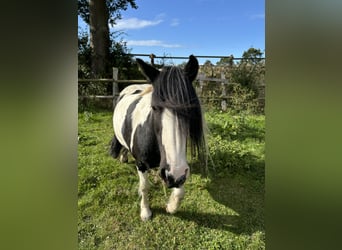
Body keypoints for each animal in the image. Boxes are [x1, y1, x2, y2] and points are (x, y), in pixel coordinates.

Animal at [110, 55, 206, 221]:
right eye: (154, 107)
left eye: (190, 108)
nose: (174, 174)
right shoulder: (141, 164)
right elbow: (144, 187)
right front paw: (145, 212)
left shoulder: (181, 169)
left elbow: (180, 191)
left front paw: (171, 206)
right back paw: (123, 157)